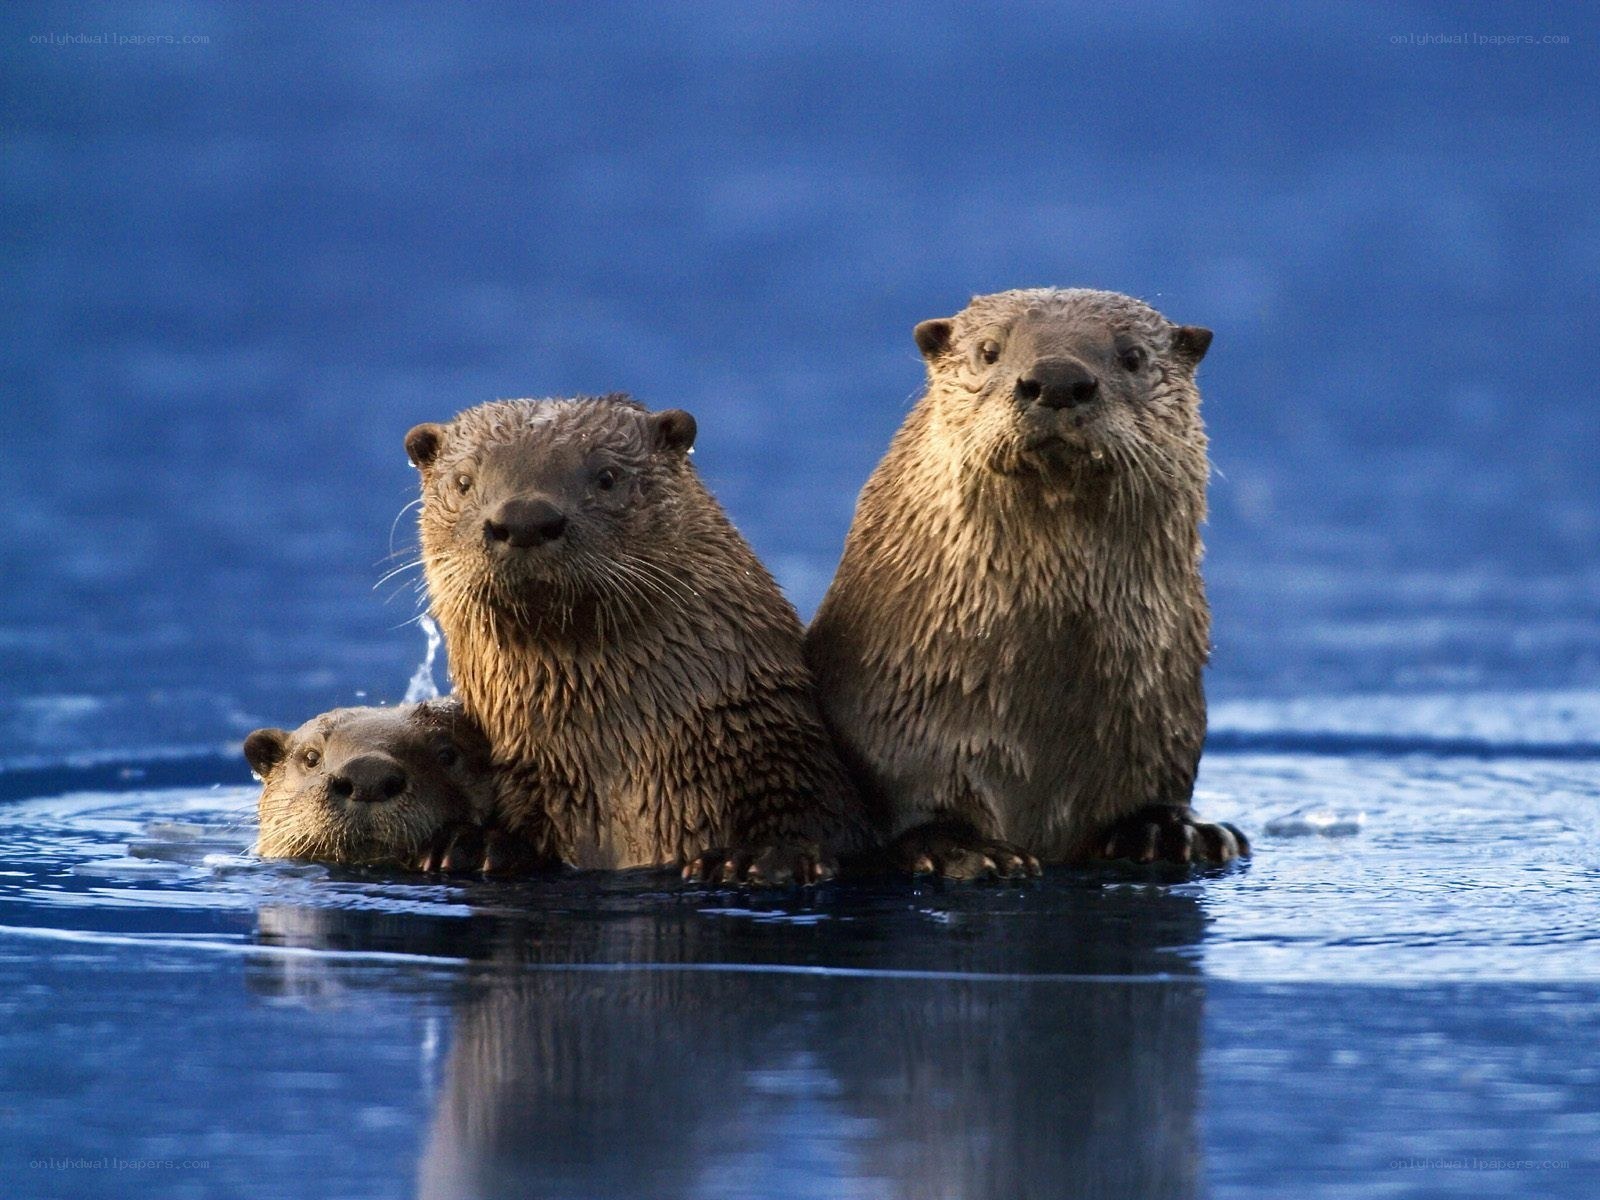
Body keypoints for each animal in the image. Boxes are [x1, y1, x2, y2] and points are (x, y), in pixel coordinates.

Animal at [404, 394, 873, 884]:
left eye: (608, 476)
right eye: (463, 481)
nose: (524, 519)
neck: (618, 766)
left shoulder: (783, 750)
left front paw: (768, 855)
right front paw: (475, 844)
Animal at [805, 288, 1249, 877]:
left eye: (1133, 356)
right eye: (989, 350)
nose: (1058, 379)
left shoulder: (1163, 720)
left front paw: (1169, 829)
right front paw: (962, 849)